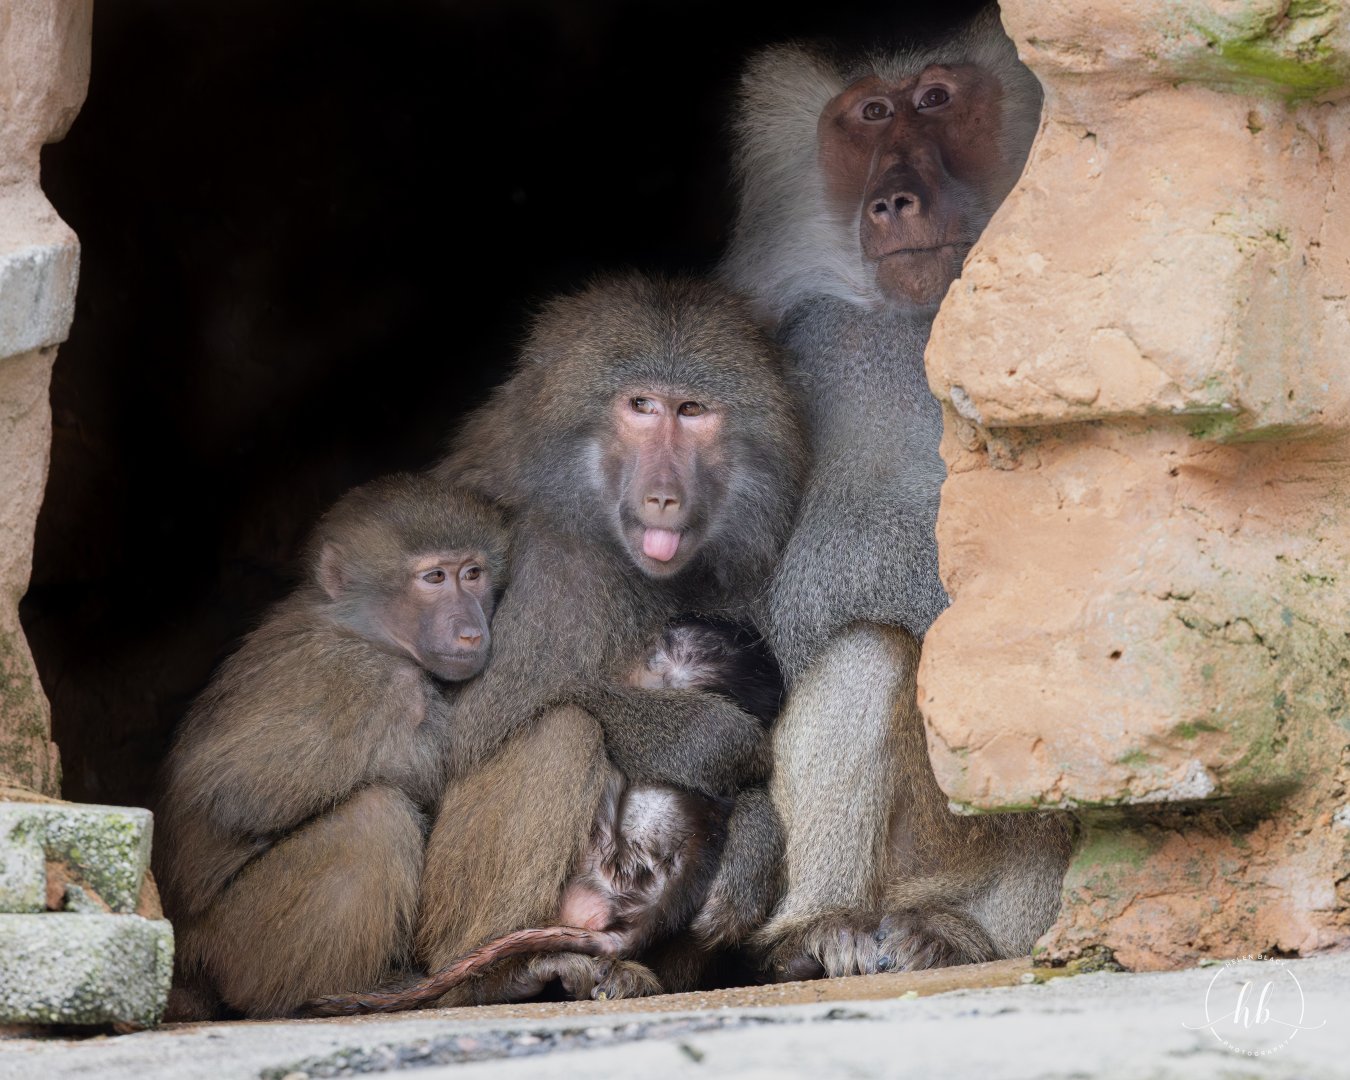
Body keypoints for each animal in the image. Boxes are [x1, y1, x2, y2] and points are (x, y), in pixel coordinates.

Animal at [152, 473, 510, 1019]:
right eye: (434, 579)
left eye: (472, 574)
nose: (471, 632)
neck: (360, 626)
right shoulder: (370, 681)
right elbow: (235, 792)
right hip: (240, 945)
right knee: (374, 818)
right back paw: (321, 998)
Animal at [404, 274, 807, 1006]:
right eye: (641, 406)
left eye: (691, 410)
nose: (665, 496)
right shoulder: (554, 569)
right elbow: (462, 740)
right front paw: (711, 740)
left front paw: (752, 840)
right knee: (562, 730)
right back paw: (501, 977)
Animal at [719, 7, 1074, 980]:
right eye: (871, 113)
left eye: (937, 98)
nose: (893, 201)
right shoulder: (809, 355)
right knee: (869, 650)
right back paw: (817, 933)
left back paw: (964, 938)